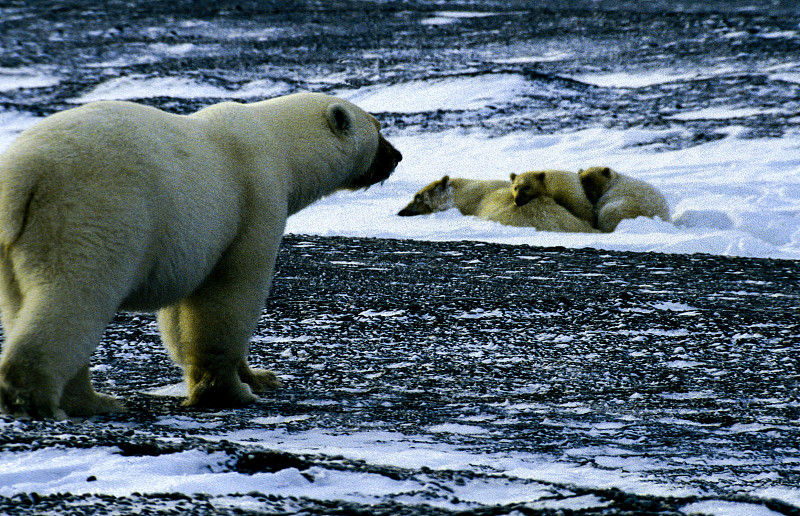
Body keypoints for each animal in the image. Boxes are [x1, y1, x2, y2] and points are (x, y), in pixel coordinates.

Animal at [0, 91, 400, 420]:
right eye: (378, 127)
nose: (396, 156)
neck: (278, 144)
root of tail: (23, 175)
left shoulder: (188, 242)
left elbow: (179, 316)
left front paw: (260, 377)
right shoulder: (254, 202)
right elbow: (230, 297)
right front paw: (229, 392)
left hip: (16, 244)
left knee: (21, 303)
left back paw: (93, 400)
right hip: (92, 212)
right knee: (74, 294)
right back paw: (43, 399)